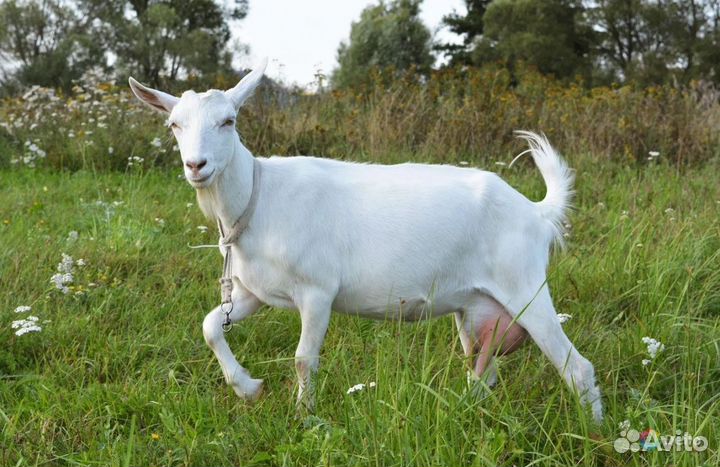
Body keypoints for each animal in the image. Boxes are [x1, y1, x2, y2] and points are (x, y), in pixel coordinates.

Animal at [128, 59, 603, 422]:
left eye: (228, 121)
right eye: (174, 124)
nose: (197, 165)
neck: (258, 198)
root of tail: (536, 212)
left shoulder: (317, 291)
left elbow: (303, 358)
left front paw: (304, 418)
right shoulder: (252, 293)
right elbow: (211, 326)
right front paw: (248, 387)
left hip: (525, 286)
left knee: (576, 366)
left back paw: (593, 433)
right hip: (476, 309)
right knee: (482, 372)